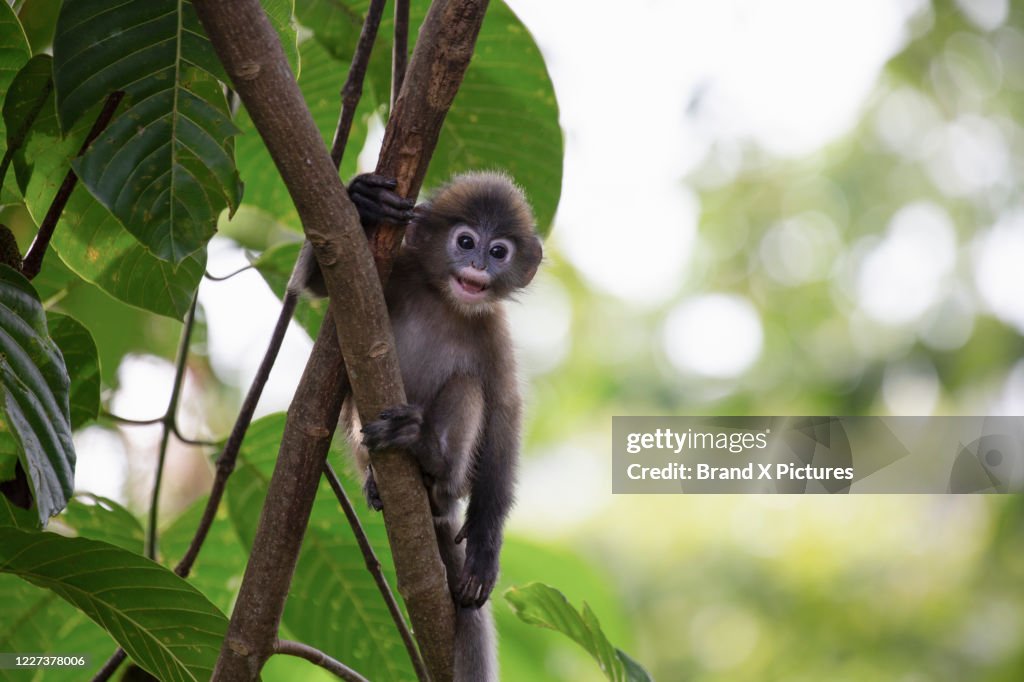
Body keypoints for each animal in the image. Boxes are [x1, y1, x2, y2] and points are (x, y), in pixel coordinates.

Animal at [288, 169, 544, 679]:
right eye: (465, 241)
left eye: (498, 251)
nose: (477, 265)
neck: (445, 300)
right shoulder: (391, 274)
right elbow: (316, 284)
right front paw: (362, 199)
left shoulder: (493, 331)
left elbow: (504, 413)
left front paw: (485, 547)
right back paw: (378, 482)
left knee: (468, 388)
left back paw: (432, 464)